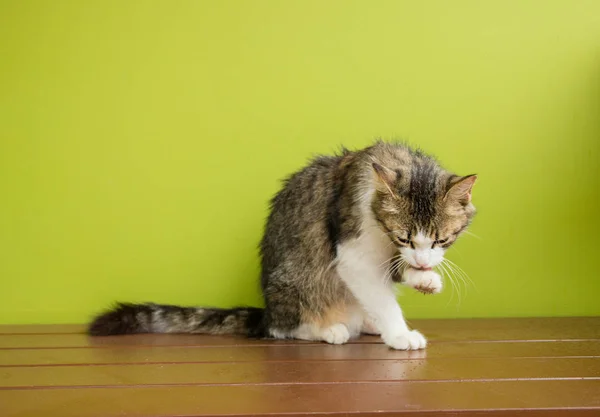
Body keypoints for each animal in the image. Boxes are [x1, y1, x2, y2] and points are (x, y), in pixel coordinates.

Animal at [89, 139, 476, 348]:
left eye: (442, 240)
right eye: (402, 236)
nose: (423, 260)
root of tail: (268, 311)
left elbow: (393, 272)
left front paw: (424, 276)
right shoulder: (352, 249)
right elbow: (377, 290)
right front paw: (398, 334)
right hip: (294, 281)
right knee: (283, 329)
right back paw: (328, 329)